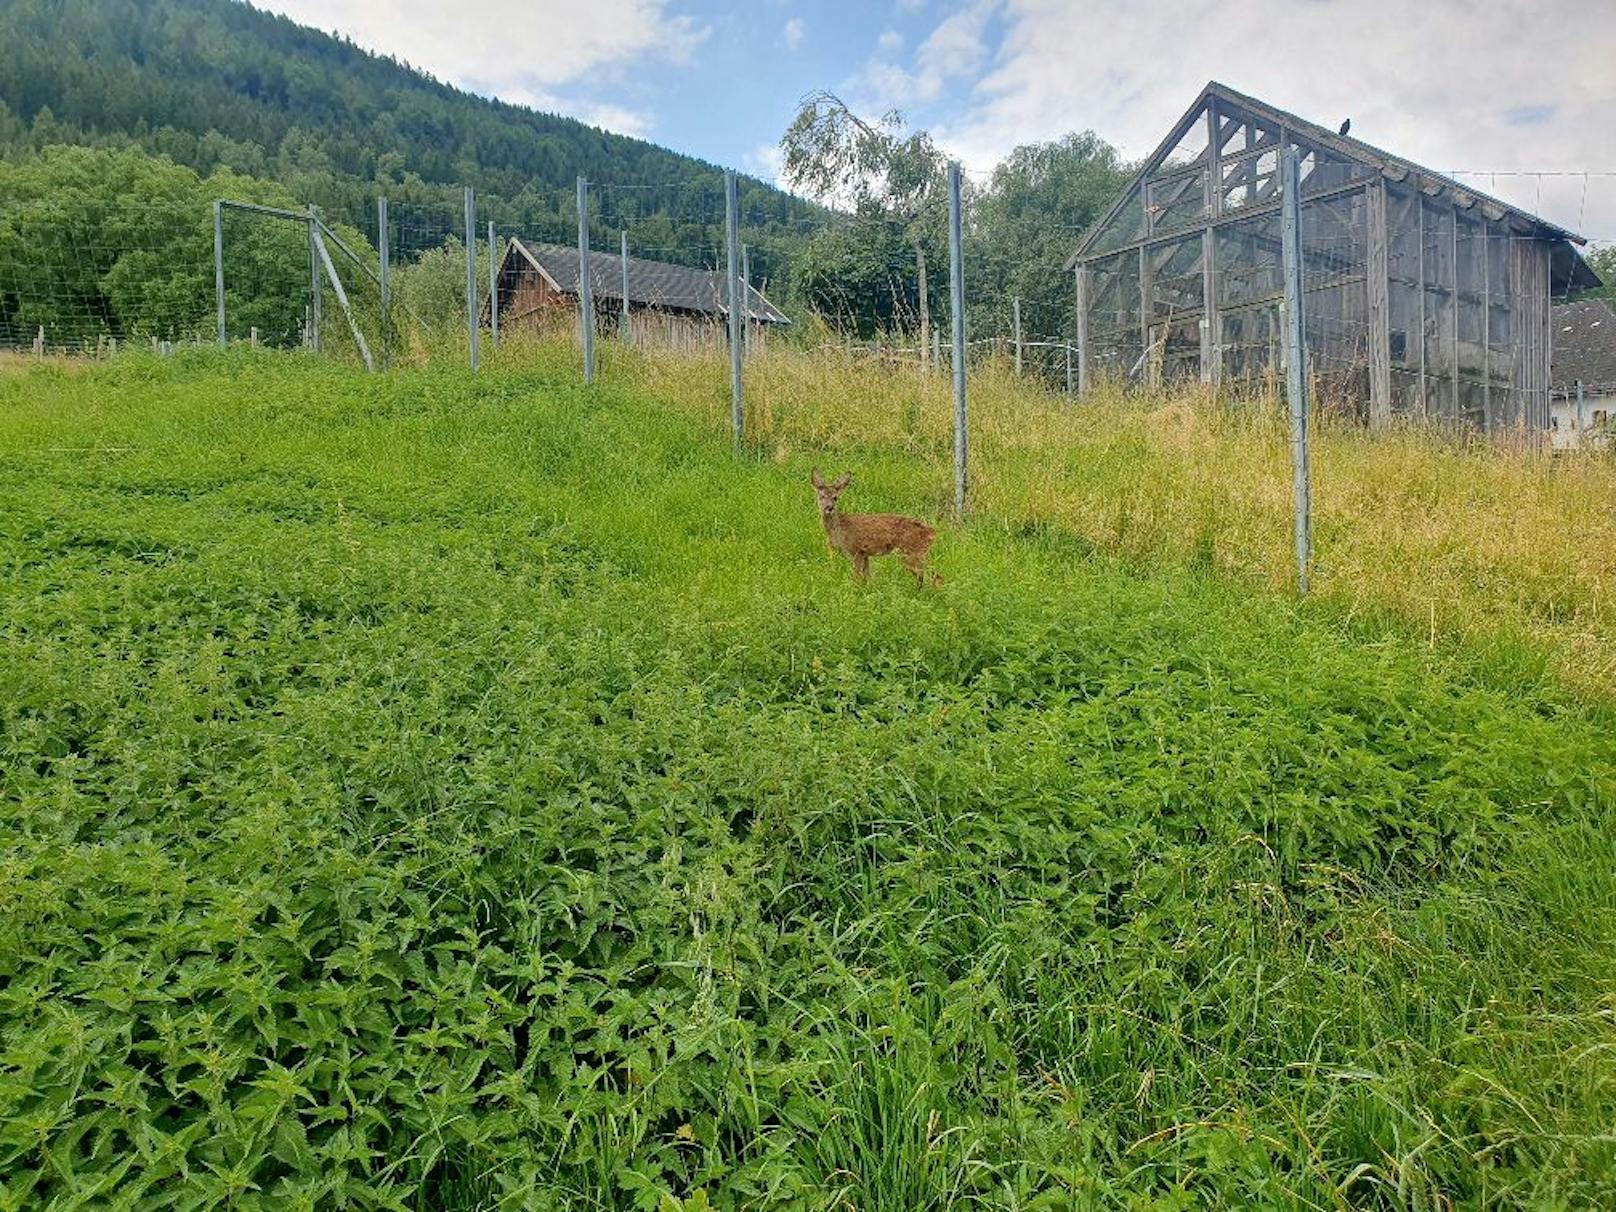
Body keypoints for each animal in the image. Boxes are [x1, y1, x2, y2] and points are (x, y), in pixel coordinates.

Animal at [814, 468, 943, 588]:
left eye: (835, 498)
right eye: (821, 496)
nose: (829, 507)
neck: (839, 529)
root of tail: (932, 533)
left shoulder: (856, 550)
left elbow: (857, 577)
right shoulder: (865, 554)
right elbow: (867, 577)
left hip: (911, 553)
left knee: (929, 575)